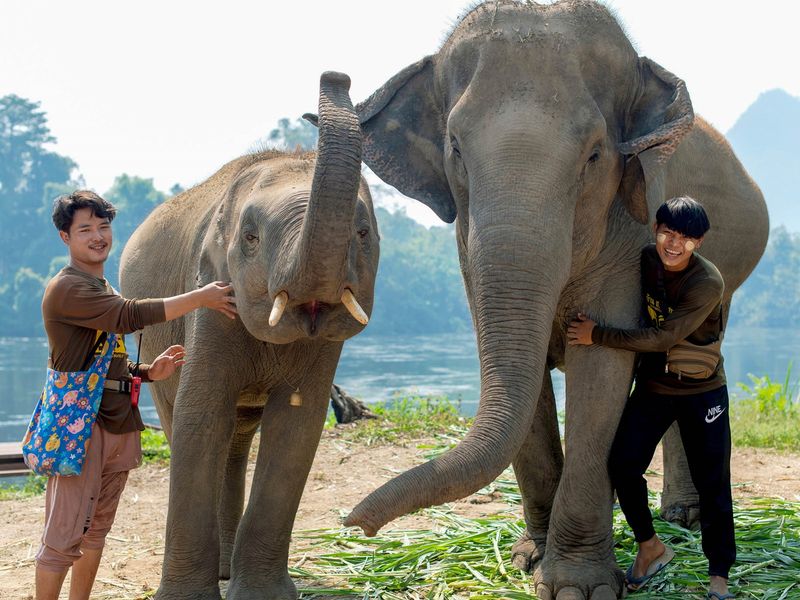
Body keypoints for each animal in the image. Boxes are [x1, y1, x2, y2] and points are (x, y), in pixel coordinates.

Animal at [119, 72, 379, 600]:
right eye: (251, 238)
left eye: (362, 233)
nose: (335, 76)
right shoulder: (209, 296)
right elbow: (199, 418)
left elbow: (296, 427)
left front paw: (261, 595)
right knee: (187, 421)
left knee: (238, 440)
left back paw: (226, 567)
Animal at [341, 2, 768, 599]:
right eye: (455, 148)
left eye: (594, 154)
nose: (354, 524)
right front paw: (531, 558)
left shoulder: (628, 234)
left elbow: (601, 370)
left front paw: (578, 588)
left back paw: (683, 519)